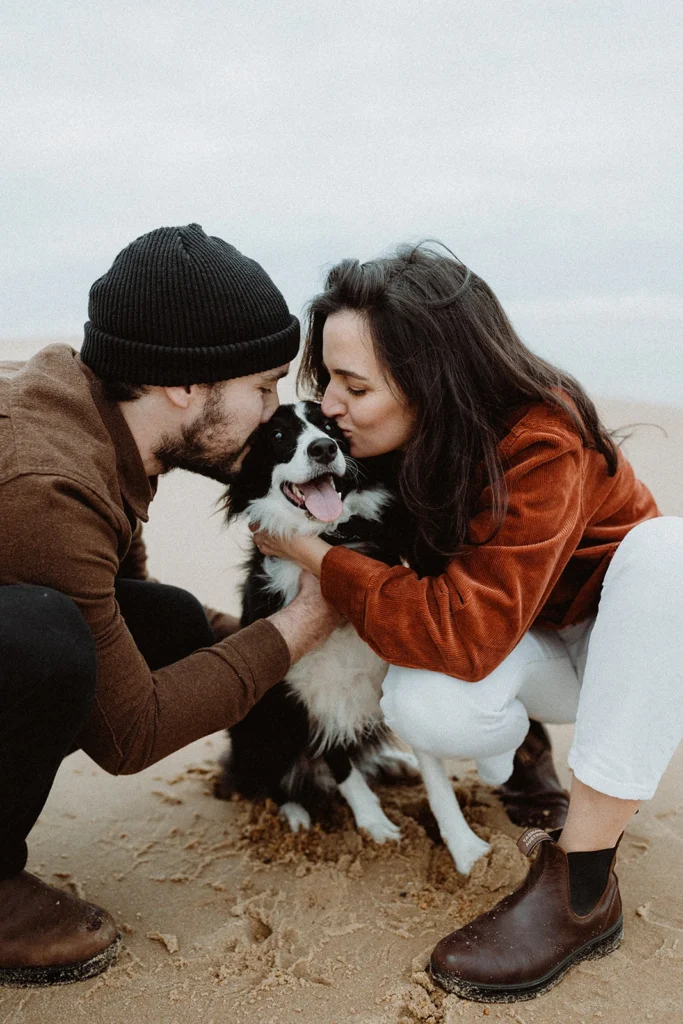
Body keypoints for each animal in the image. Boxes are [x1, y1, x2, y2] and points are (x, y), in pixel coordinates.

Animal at [219, 399, 491, 872]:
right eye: (277, 435)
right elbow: (339, 763)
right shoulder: (306, 690)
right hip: (258, 719)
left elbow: (434, 772)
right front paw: (374, 823)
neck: (330, 539)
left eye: (331, 427)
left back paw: (392, 762)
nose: (324, 449)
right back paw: (294, 813)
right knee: (269, 777)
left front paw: (465, 848)